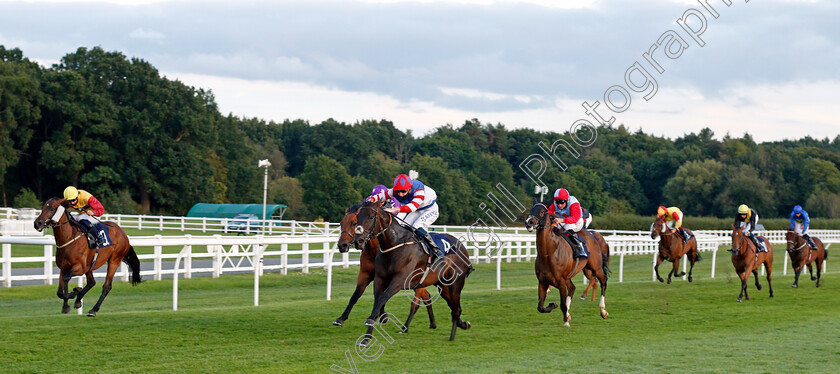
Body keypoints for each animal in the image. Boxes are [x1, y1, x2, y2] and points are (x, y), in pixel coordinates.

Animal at [334, 203, 440, 332]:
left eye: (354, 223)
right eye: (341, 223)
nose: (342, 245)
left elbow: (381, 297)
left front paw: (382, 316)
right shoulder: (366, 273)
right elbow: (357, 294)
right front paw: (341, 318)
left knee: (418, 300)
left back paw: (407, 327)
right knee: (427, 296)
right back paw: (432, 323)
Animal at [352, 202, 472, 344]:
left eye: (371, 217)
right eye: (357, 218)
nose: (358, 241)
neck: (394, 244)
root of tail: (462, 246)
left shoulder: (399, 281)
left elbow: (382, 299)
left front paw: (371, 322)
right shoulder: (380, 279)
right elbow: (377, 302)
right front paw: (367, 338)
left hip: (455, 284)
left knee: (456, 309)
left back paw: (452, 337)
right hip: (442, 285)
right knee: (454, 307)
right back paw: (463, 324)